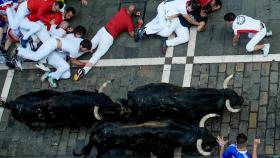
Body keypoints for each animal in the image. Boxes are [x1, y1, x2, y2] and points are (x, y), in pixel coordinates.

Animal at [73, 114, 218, 157]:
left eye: (207, 132)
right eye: (196, 143)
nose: (216, 141)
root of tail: (94, 132)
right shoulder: (161, 151)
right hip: (102, 148)